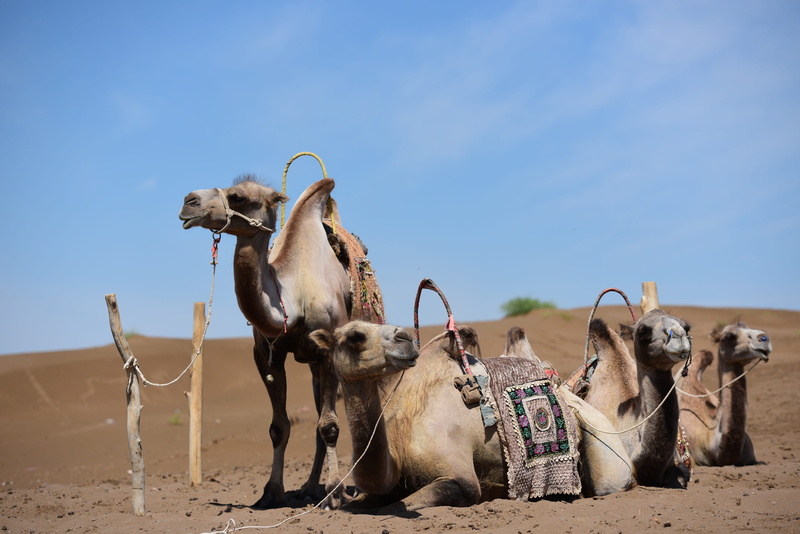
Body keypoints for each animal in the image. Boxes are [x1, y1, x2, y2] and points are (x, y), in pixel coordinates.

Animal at [179, 176, 382, 509]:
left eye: (237, 196)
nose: (188, 201)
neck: (292, 296)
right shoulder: (266, 354)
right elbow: (280, 427)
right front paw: (271, 492)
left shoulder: (329, 351)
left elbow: (329, 425)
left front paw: (335, 493)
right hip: (312, 366)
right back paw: (310, 488)